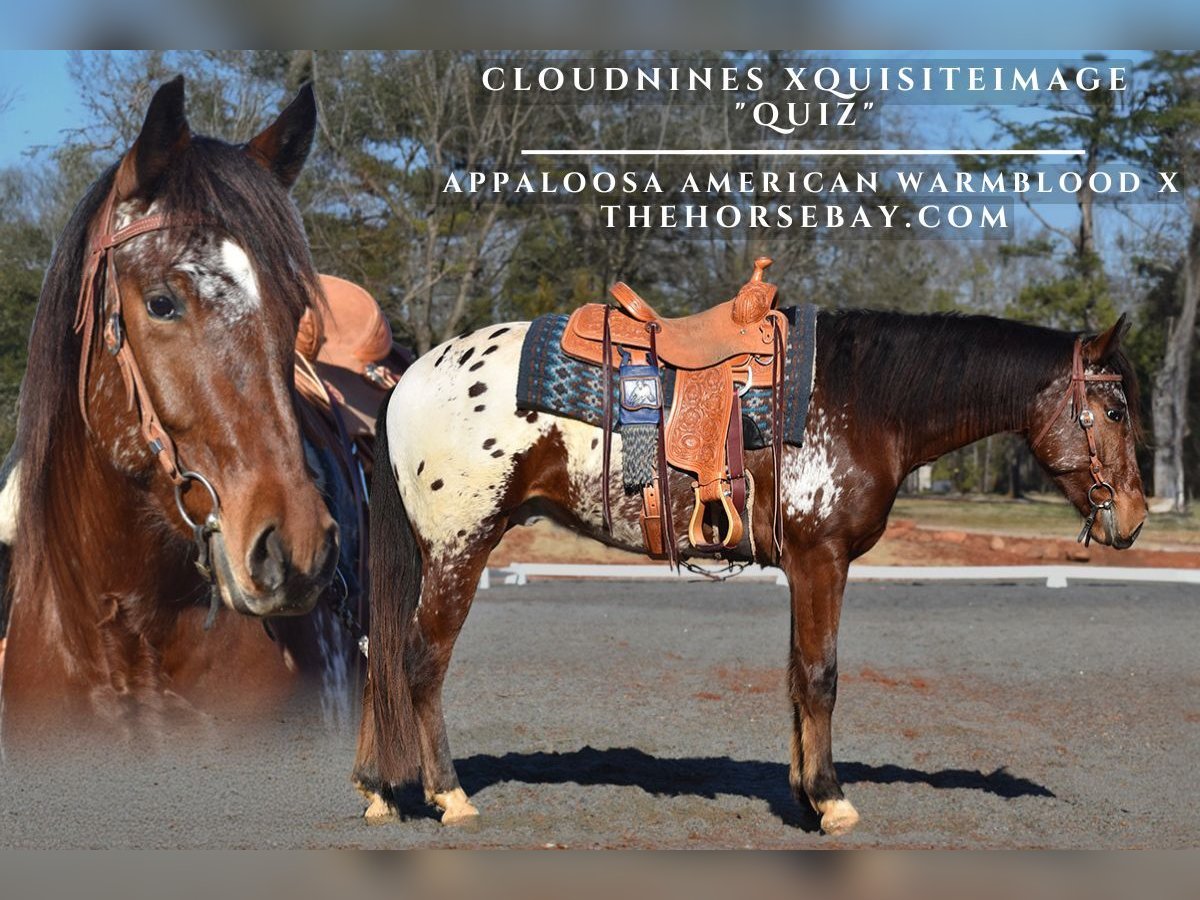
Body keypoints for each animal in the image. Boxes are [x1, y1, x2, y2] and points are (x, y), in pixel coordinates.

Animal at [352, 307, 1142, 835]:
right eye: (1114, 410)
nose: (1132, 519)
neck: (861, 401)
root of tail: (410, 378)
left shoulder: (804, 566)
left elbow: (797, 675)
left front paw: (802, 793)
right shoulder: (823, 560)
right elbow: (821, 676)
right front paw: (832, 801)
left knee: (379, 654)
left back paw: (379, 790)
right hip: (460, 546)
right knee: (420, 662)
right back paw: (448, 796)